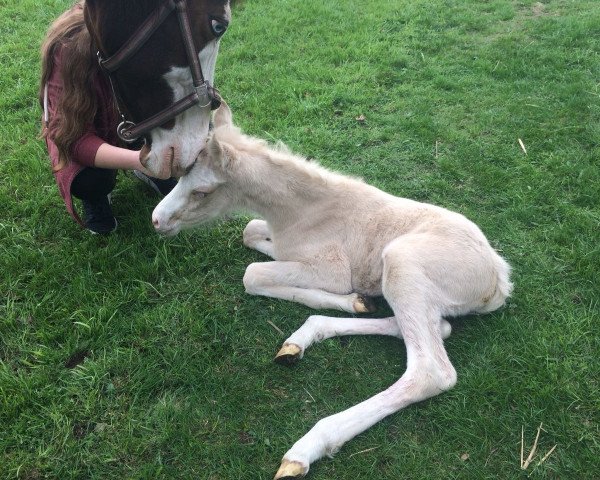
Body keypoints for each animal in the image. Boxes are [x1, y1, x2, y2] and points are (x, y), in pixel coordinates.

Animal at [152, 105, 512, 480]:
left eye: (202, 191)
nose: (157, 220)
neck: (298, 213)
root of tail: (498, 279)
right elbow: (250, 232)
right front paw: (354, 301)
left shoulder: (333, 269)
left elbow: (253, 274)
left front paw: (349, 298)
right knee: (436, 327)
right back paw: (303, 338)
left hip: (402, 262)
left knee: (432, 369)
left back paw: (306, 448)